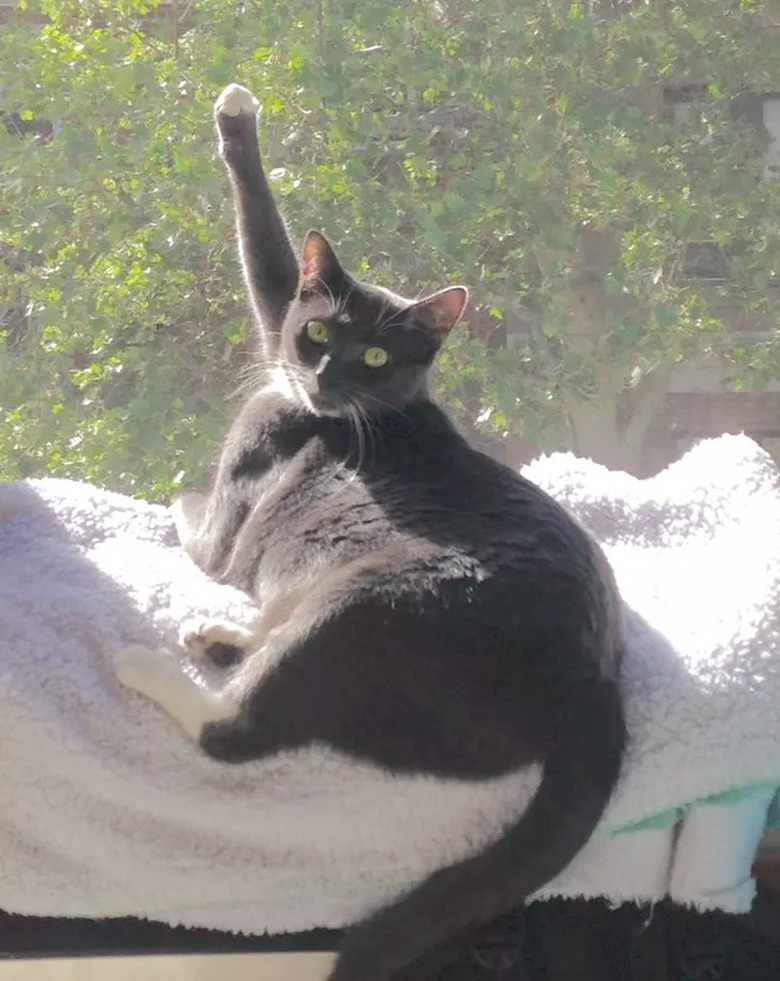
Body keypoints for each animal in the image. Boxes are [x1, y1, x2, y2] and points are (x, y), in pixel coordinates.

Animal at [114, 82, 628, 980]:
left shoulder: (243, 483)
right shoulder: (283, 342)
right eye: (321, 333)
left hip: (360, 603)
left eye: (380, 357)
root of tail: (596, 689)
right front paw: (239, 120)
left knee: (236, 731)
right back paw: (219, 637)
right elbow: (277, 280)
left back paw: (150, 658)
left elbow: (198, 520)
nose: (324, 376)